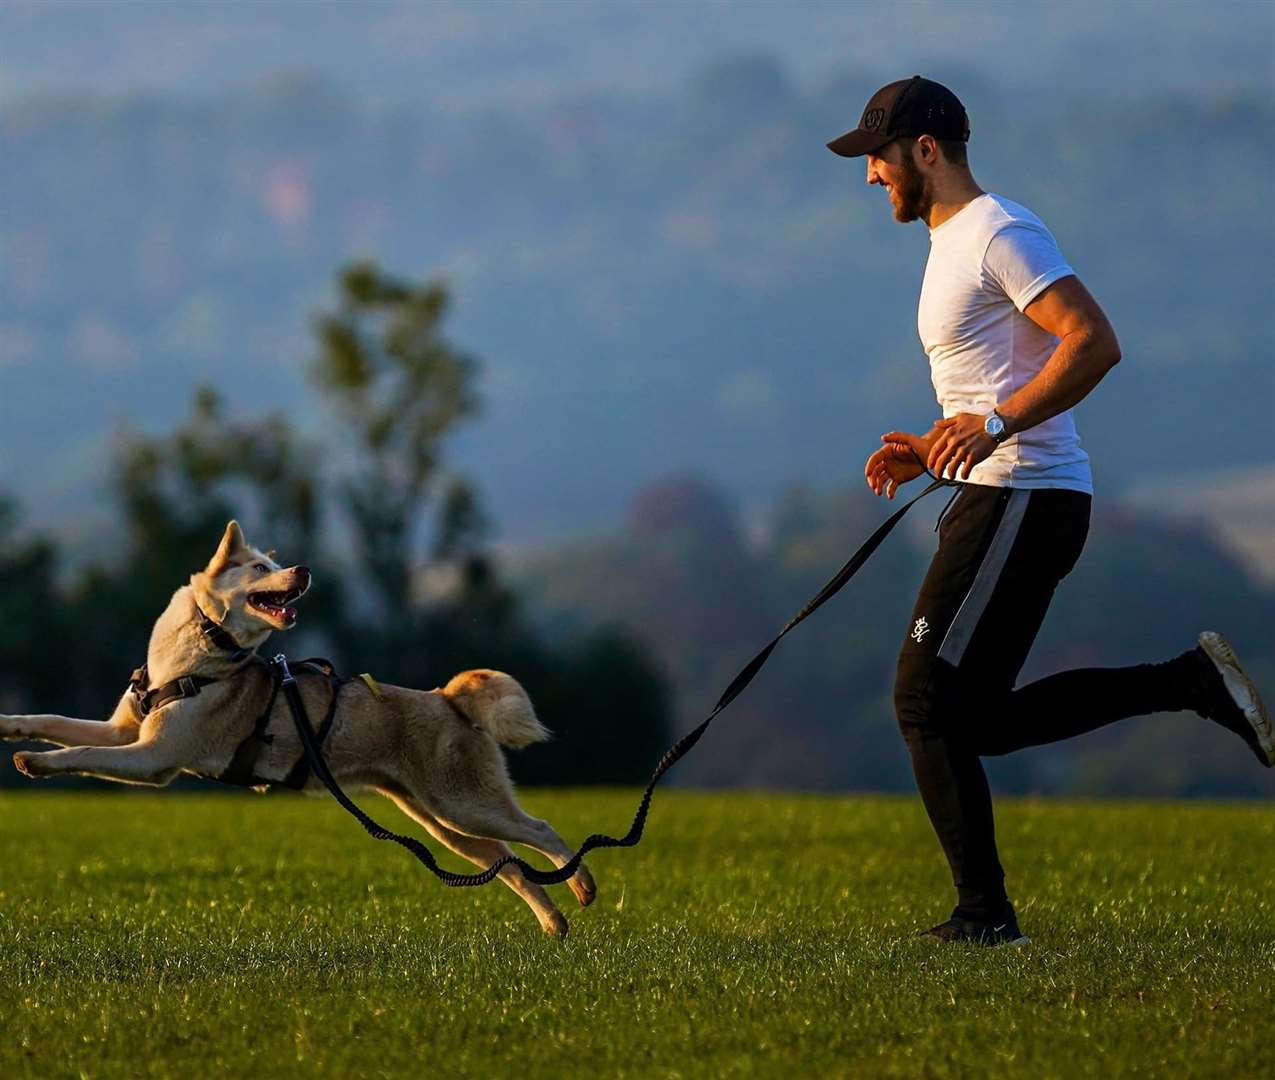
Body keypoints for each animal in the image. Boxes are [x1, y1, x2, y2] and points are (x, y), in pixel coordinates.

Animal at [0, 520, 596, 933]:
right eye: (259, 568)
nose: (306, 570)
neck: (199, 651)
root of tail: (448, 699)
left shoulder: (153, 759)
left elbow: (80, 756)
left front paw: (36, 762)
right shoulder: (124, 732)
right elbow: (54, 721)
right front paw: (10, 726)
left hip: (462, 803)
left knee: (540, 830)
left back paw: (583, 884)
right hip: (441, 821)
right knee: (509, 863)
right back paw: (554, 922)